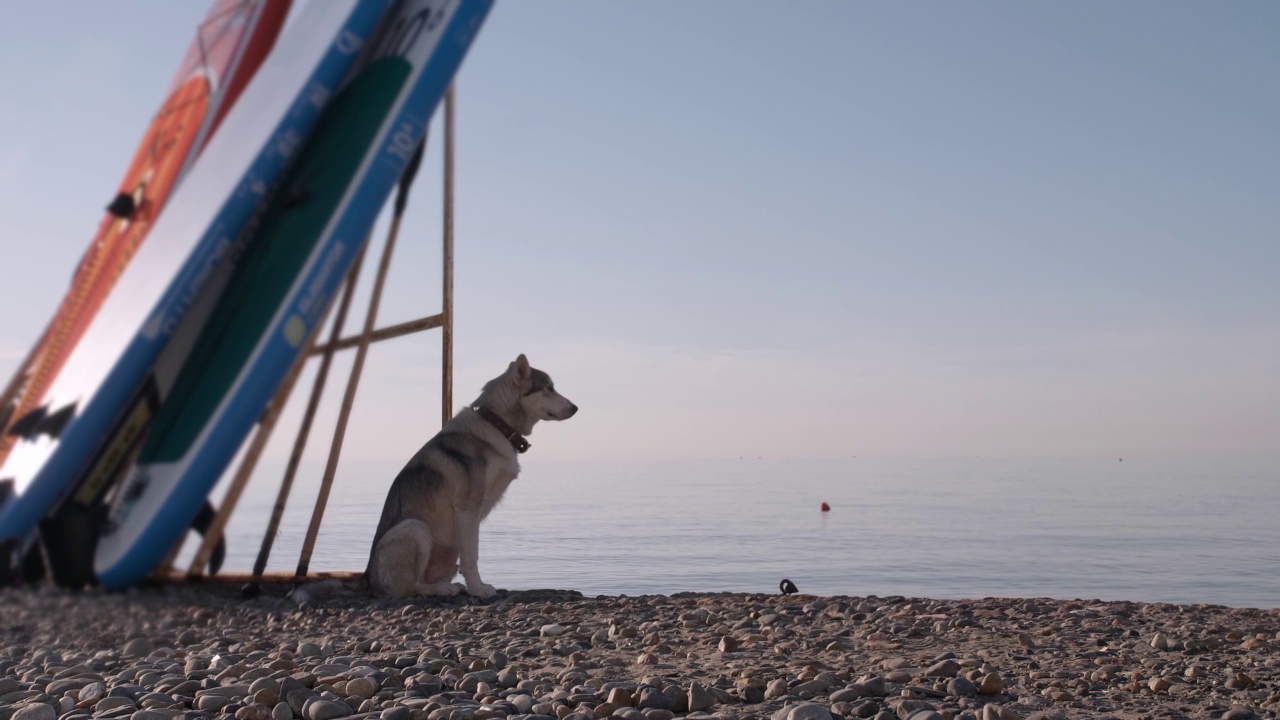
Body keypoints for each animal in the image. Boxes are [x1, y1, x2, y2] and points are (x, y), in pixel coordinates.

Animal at [290, 353, 576, 599]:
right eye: (549, 388)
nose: (576, 407)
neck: (496, 424)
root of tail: (367, 578)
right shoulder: (468, 508)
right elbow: (473, 557)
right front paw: (479, 590)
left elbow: (471, 555)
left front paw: (476, 587)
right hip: (415, 528)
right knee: (412, 588)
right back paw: (443, 590)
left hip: (446, 554)